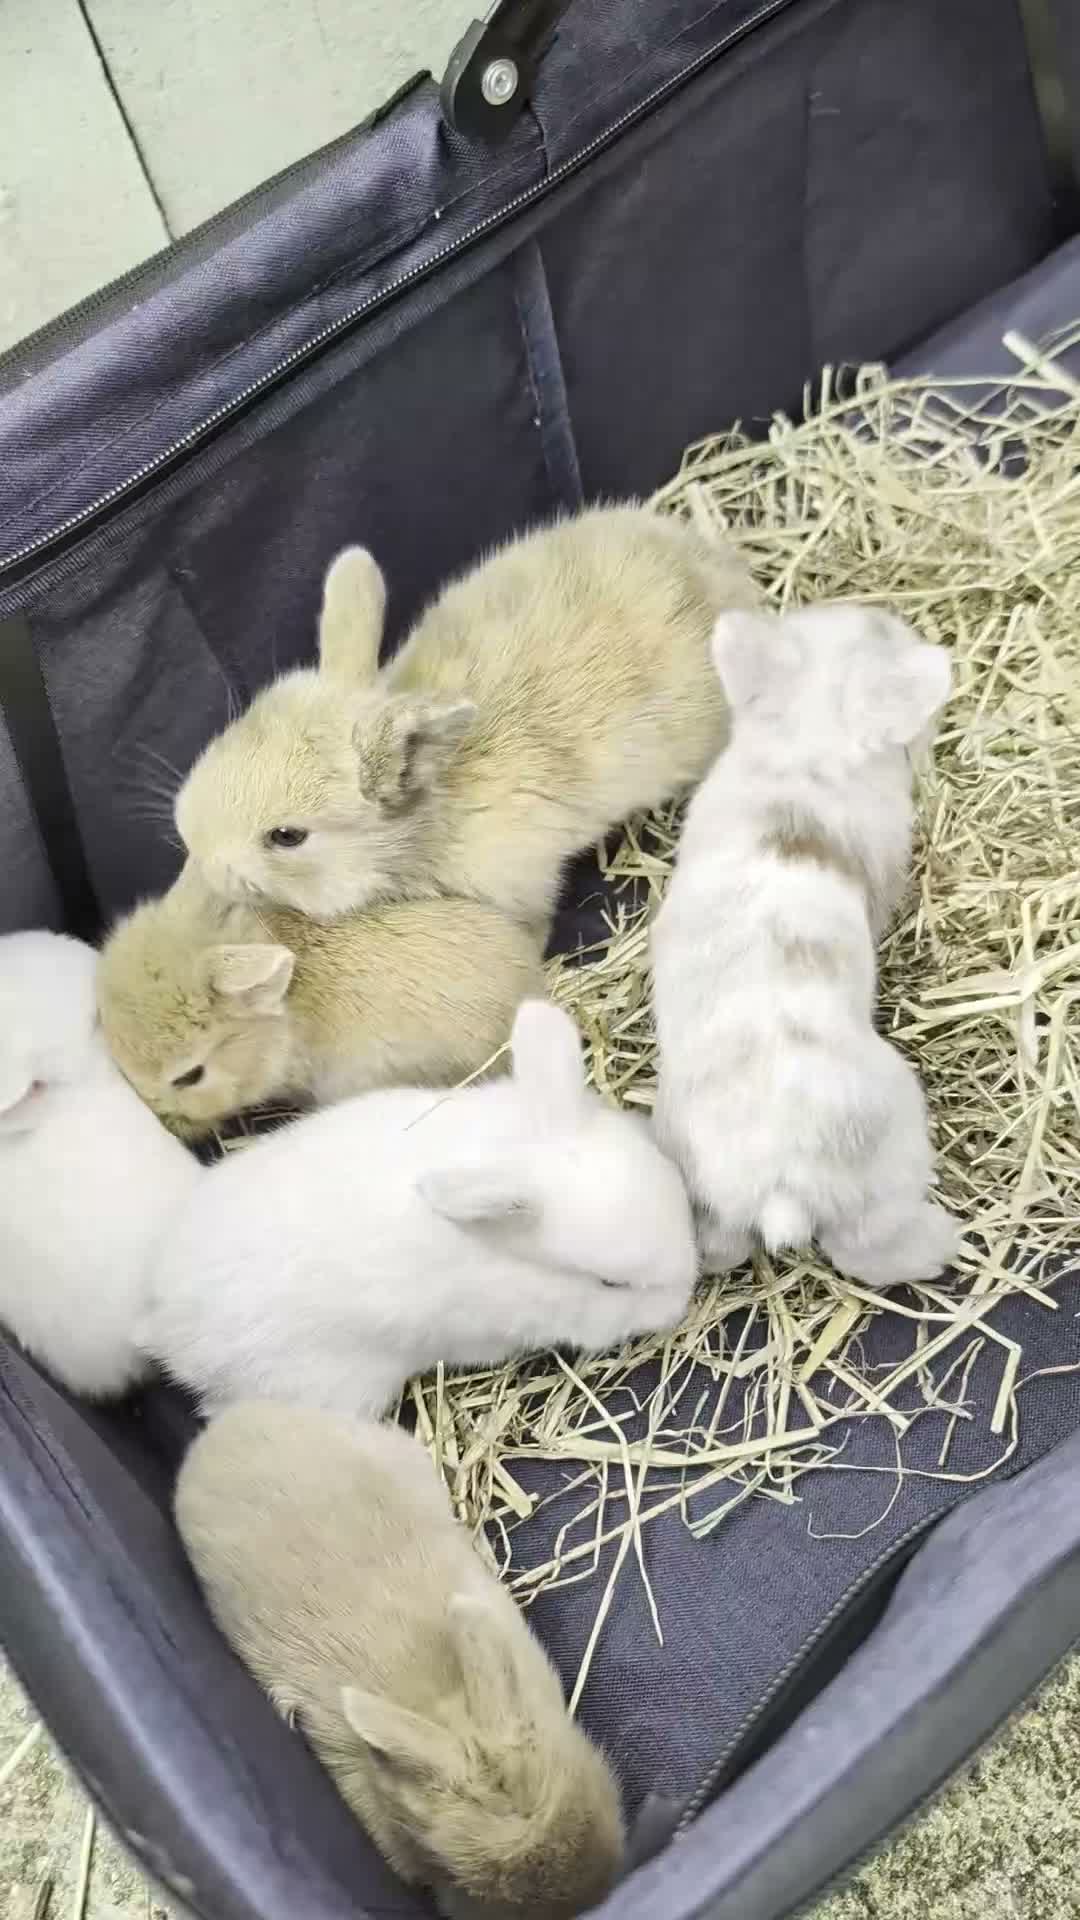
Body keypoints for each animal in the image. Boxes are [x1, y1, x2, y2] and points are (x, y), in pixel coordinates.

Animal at [650, 603, 961, 1288]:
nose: (883, 613)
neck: (805, 746)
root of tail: (780, 1188)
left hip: (698, 1177)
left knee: (722, 1245)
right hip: (887, 1152)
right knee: (869, 1248)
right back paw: (942, 1244)